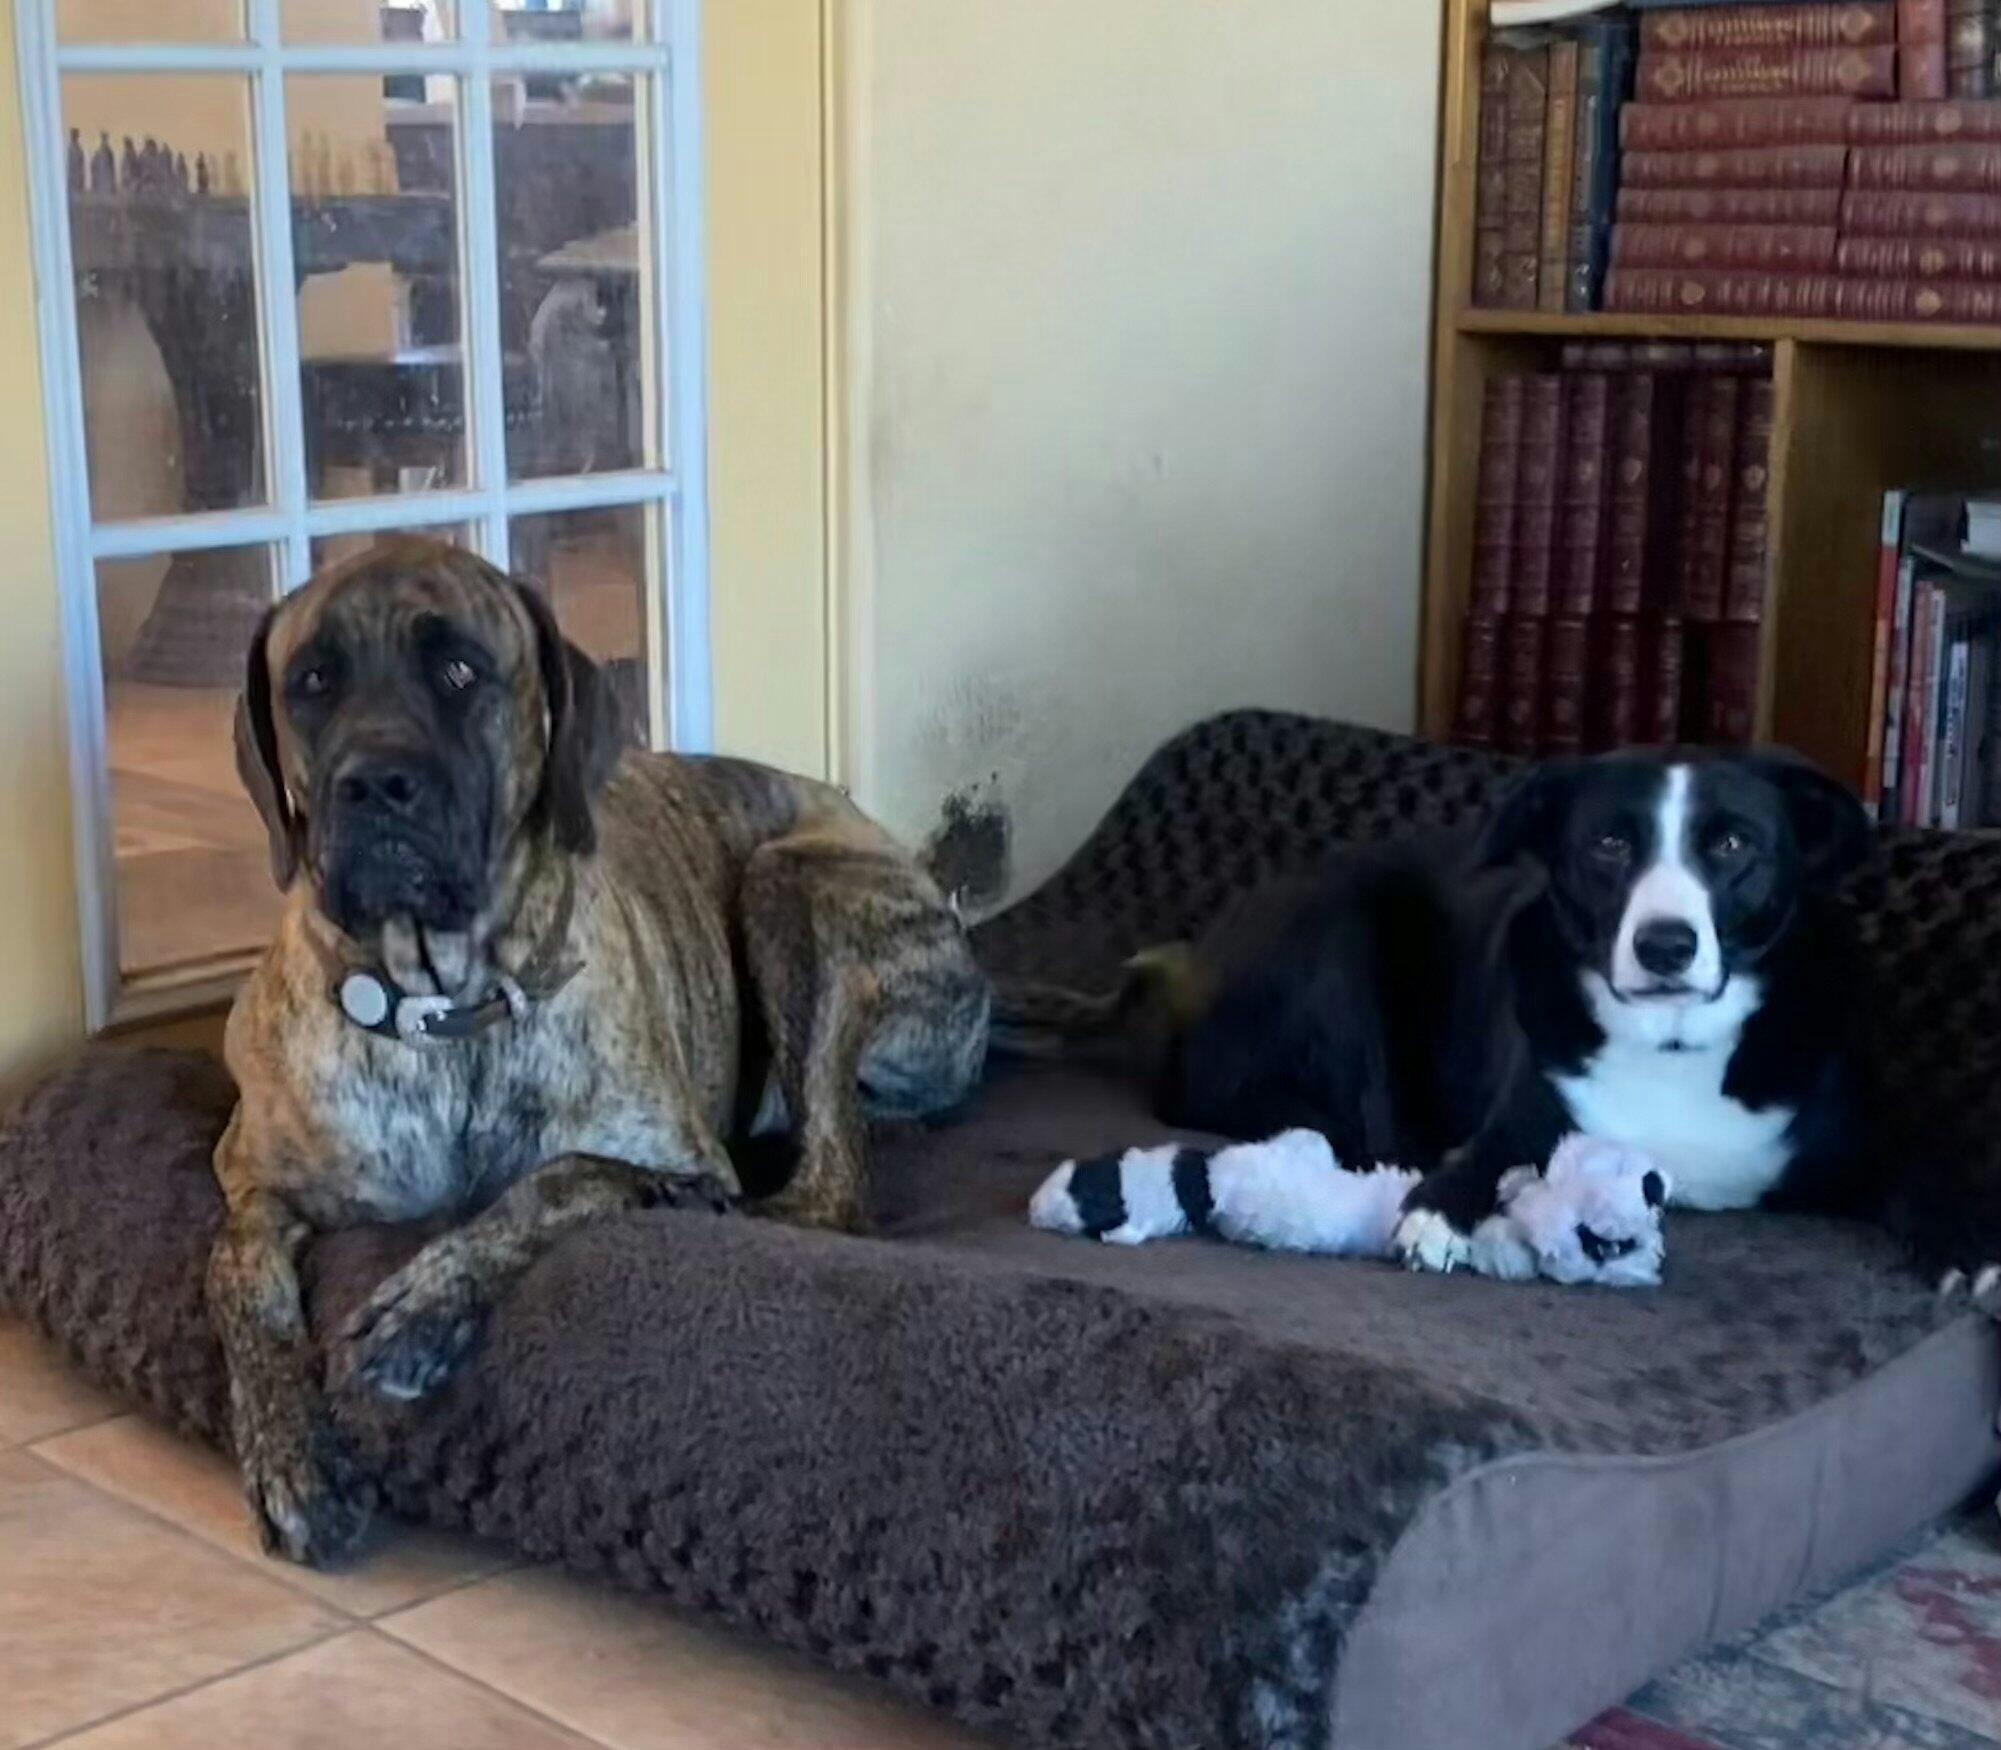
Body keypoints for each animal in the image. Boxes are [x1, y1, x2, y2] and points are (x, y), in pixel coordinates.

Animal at [209, 540, 990, 1566]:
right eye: (311, 682)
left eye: (459, 671)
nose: (374, 783)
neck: (441, 1006)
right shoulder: (253, 1185)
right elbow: (243, 1292)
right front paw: (291, 1457)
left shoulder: (669, 1156)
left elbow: (557, 1181)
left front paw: (421, 1305)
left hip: (793, 884)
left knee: (828, 1185)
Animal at [1004, 747, 2001, 1288]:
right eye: (1609, 843)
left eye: (1731, 844)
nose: (1666, 945)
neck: (1674, 1044)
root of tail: (1193, 959)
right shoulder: (1526, 1106)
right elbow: (1489, 1150)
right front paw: (1441, 1207)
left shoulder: (1857, 1135)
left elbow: (1926, 1168)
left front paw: (1971, 1247)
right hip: (1350, 927)